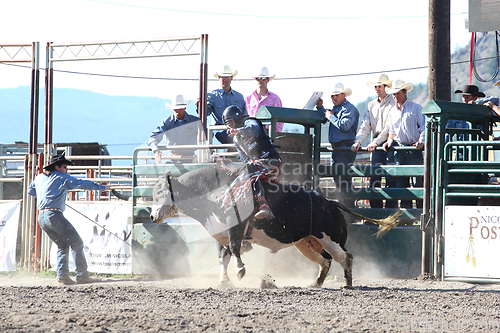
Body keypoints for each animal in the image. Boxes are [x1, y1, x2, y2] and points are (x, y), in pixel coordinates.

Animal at [148, 163, 398, 288]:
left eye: (160, 193)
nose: (151, 216)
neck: (215, 192)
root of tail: (330, 203)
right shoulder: (220, 234)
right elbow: (223, 257)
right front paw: (224, 281)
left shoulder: (234, 229)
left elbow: (236, 250)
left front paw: (240, 272)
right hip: (306, 244)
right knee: (325, 261)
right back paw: (315, 283)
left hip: (330, 238)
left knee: (345, 257)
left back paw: (347, 283)